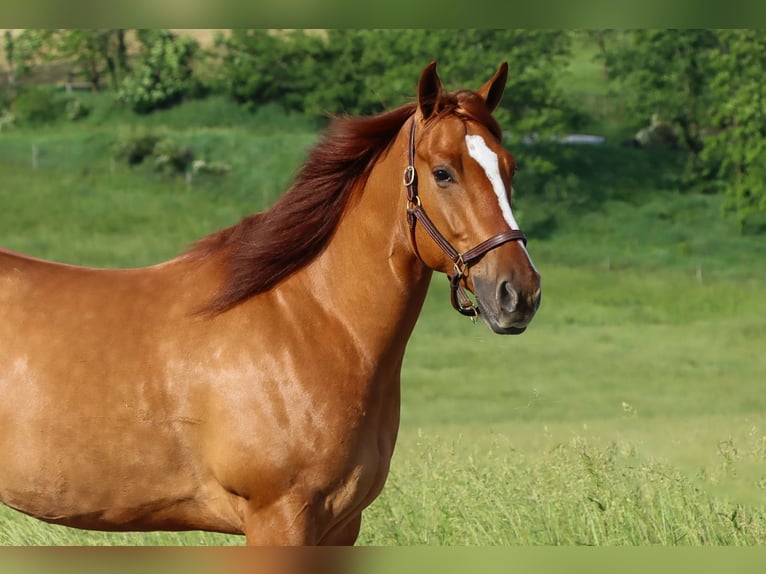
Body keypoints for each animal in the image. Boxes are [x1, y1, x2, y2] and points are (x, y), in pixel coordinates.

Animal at [0, 60, 544, 548]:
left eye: (510, 168)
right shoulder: (280, 517)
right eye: (444, 173)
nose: (519, 293)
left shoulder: (341, 527)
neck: (308, 321)